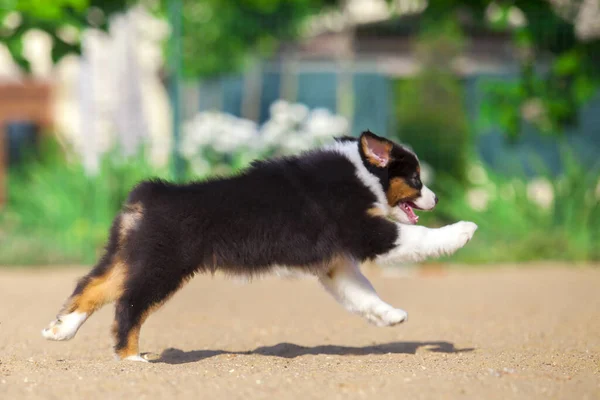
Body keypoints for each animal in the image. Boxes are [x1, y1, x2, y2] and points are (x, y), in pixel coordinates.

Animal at [41, 131, 478, 362]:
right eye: (416, 179)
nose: (437, 198)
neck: (361, 173)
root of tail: (149, 195)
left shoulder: (336, 263)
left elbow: (362, 294)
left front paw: (391, 317)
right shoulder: (362, 232)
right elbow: (417, 237)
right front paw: (463, 230)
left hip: (131, 256)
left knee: (92, 287)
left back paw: (59, 331)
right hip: (161, 267)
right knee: (128, 306)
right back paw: (131, 357)